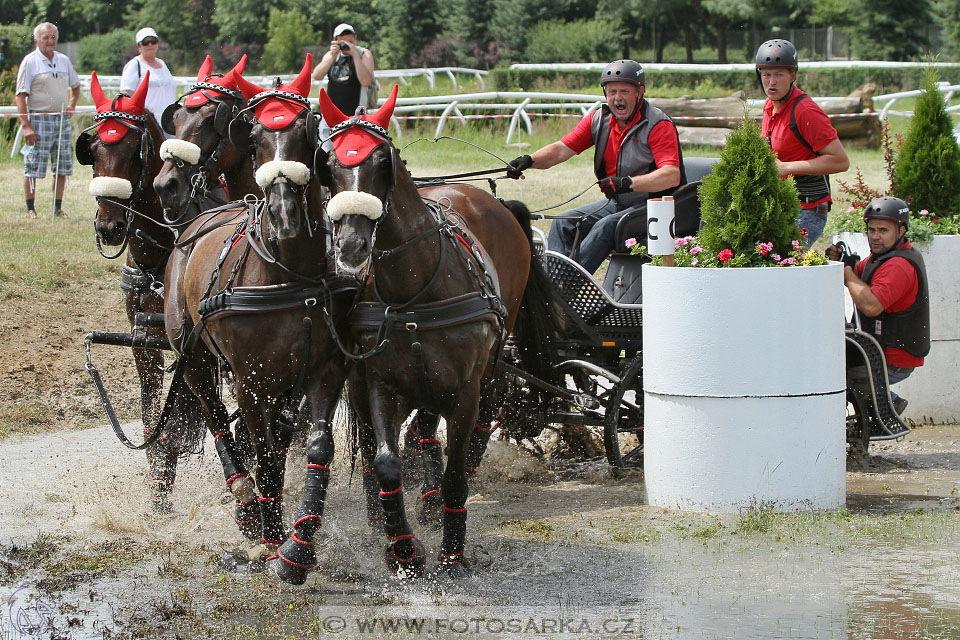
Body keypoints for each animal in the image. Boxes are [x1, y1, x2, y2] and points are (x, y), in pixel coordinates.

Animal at [77, 70, 206, 512]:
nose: (110, 226)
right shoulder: (143, 342)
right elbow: (152, 415)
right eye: (94, 148)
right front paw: (157, 485)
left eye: (136, 150)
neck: (158, 255)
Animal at [164, 57, 352, 560]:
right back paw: (246, 499)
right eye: (254, 134)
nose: (284, 210)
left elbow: (309, 447)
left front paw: (296, 540)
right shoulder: (251, 381)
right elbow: (263, 453)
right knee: (215, 416)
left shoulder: (319, 373)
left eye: (307, 131)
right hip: (195, 359)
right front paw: (268, 531)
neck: (289, 273)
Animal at [310, 85, 556, 580]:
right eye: (330, 164)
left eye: (381, 160)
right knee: (399, 436)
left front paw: (452, 553)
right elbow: (386, 461)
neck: (416, 286)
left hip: (490, 362)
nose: (351, 245)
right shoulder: (383, 384)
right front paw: (402, 549)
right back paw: (399, 512)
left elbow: (456, 472)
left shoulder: (463, 391)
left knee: (484, 406)